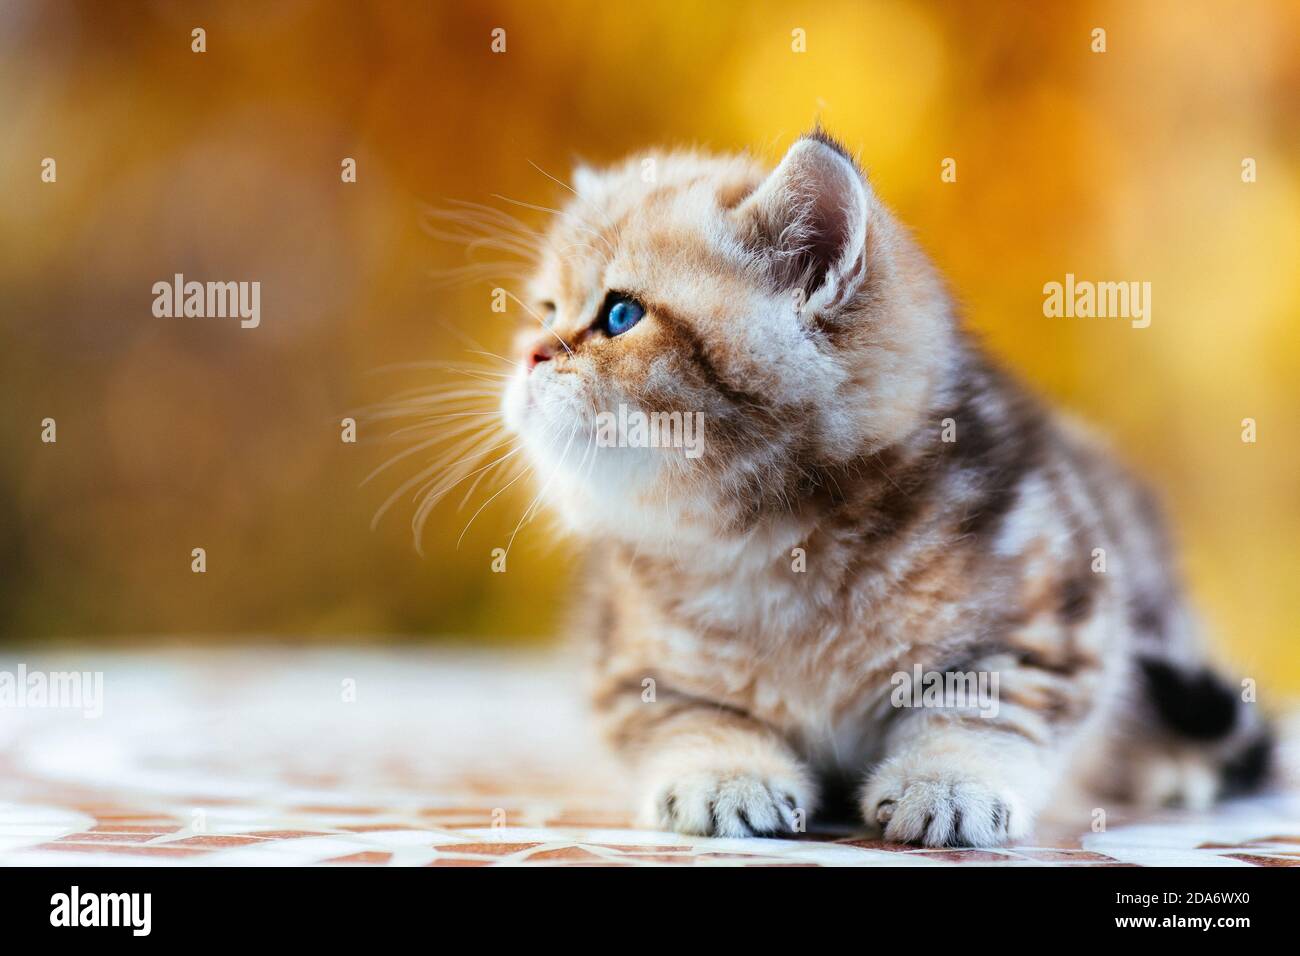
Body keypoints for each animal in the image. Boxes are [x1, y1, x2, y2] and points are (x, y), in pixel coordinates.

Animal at [493, 127, 1268, 842]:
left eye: (621, 314)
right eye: (545, 312)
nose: (529, 354)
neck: (770, 544)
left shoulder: (1057, 613)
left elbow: (985, 703)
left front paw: (949, 781)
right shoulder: (626, 658)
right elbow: (685, 713)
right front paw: (724, 773)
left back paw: (1174, 767)